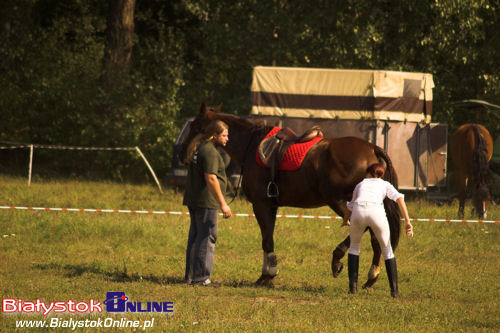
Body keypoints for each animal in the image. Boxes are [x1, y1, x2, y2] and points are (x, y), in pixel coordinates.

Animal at [180, 104, 402, 288]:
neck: (251, 146)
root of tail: (372, 149)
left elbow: (267, 240)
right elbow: (268, 237)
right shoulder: (271, 206)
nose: (183, 153)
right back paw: (371, 276)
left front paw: (268, 274)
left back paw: (340, 258)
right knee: (375, 234)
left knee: (365, 229)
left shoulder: (261, 205)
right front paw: (267, 274)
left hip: (340, 201)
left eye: (196, 125)